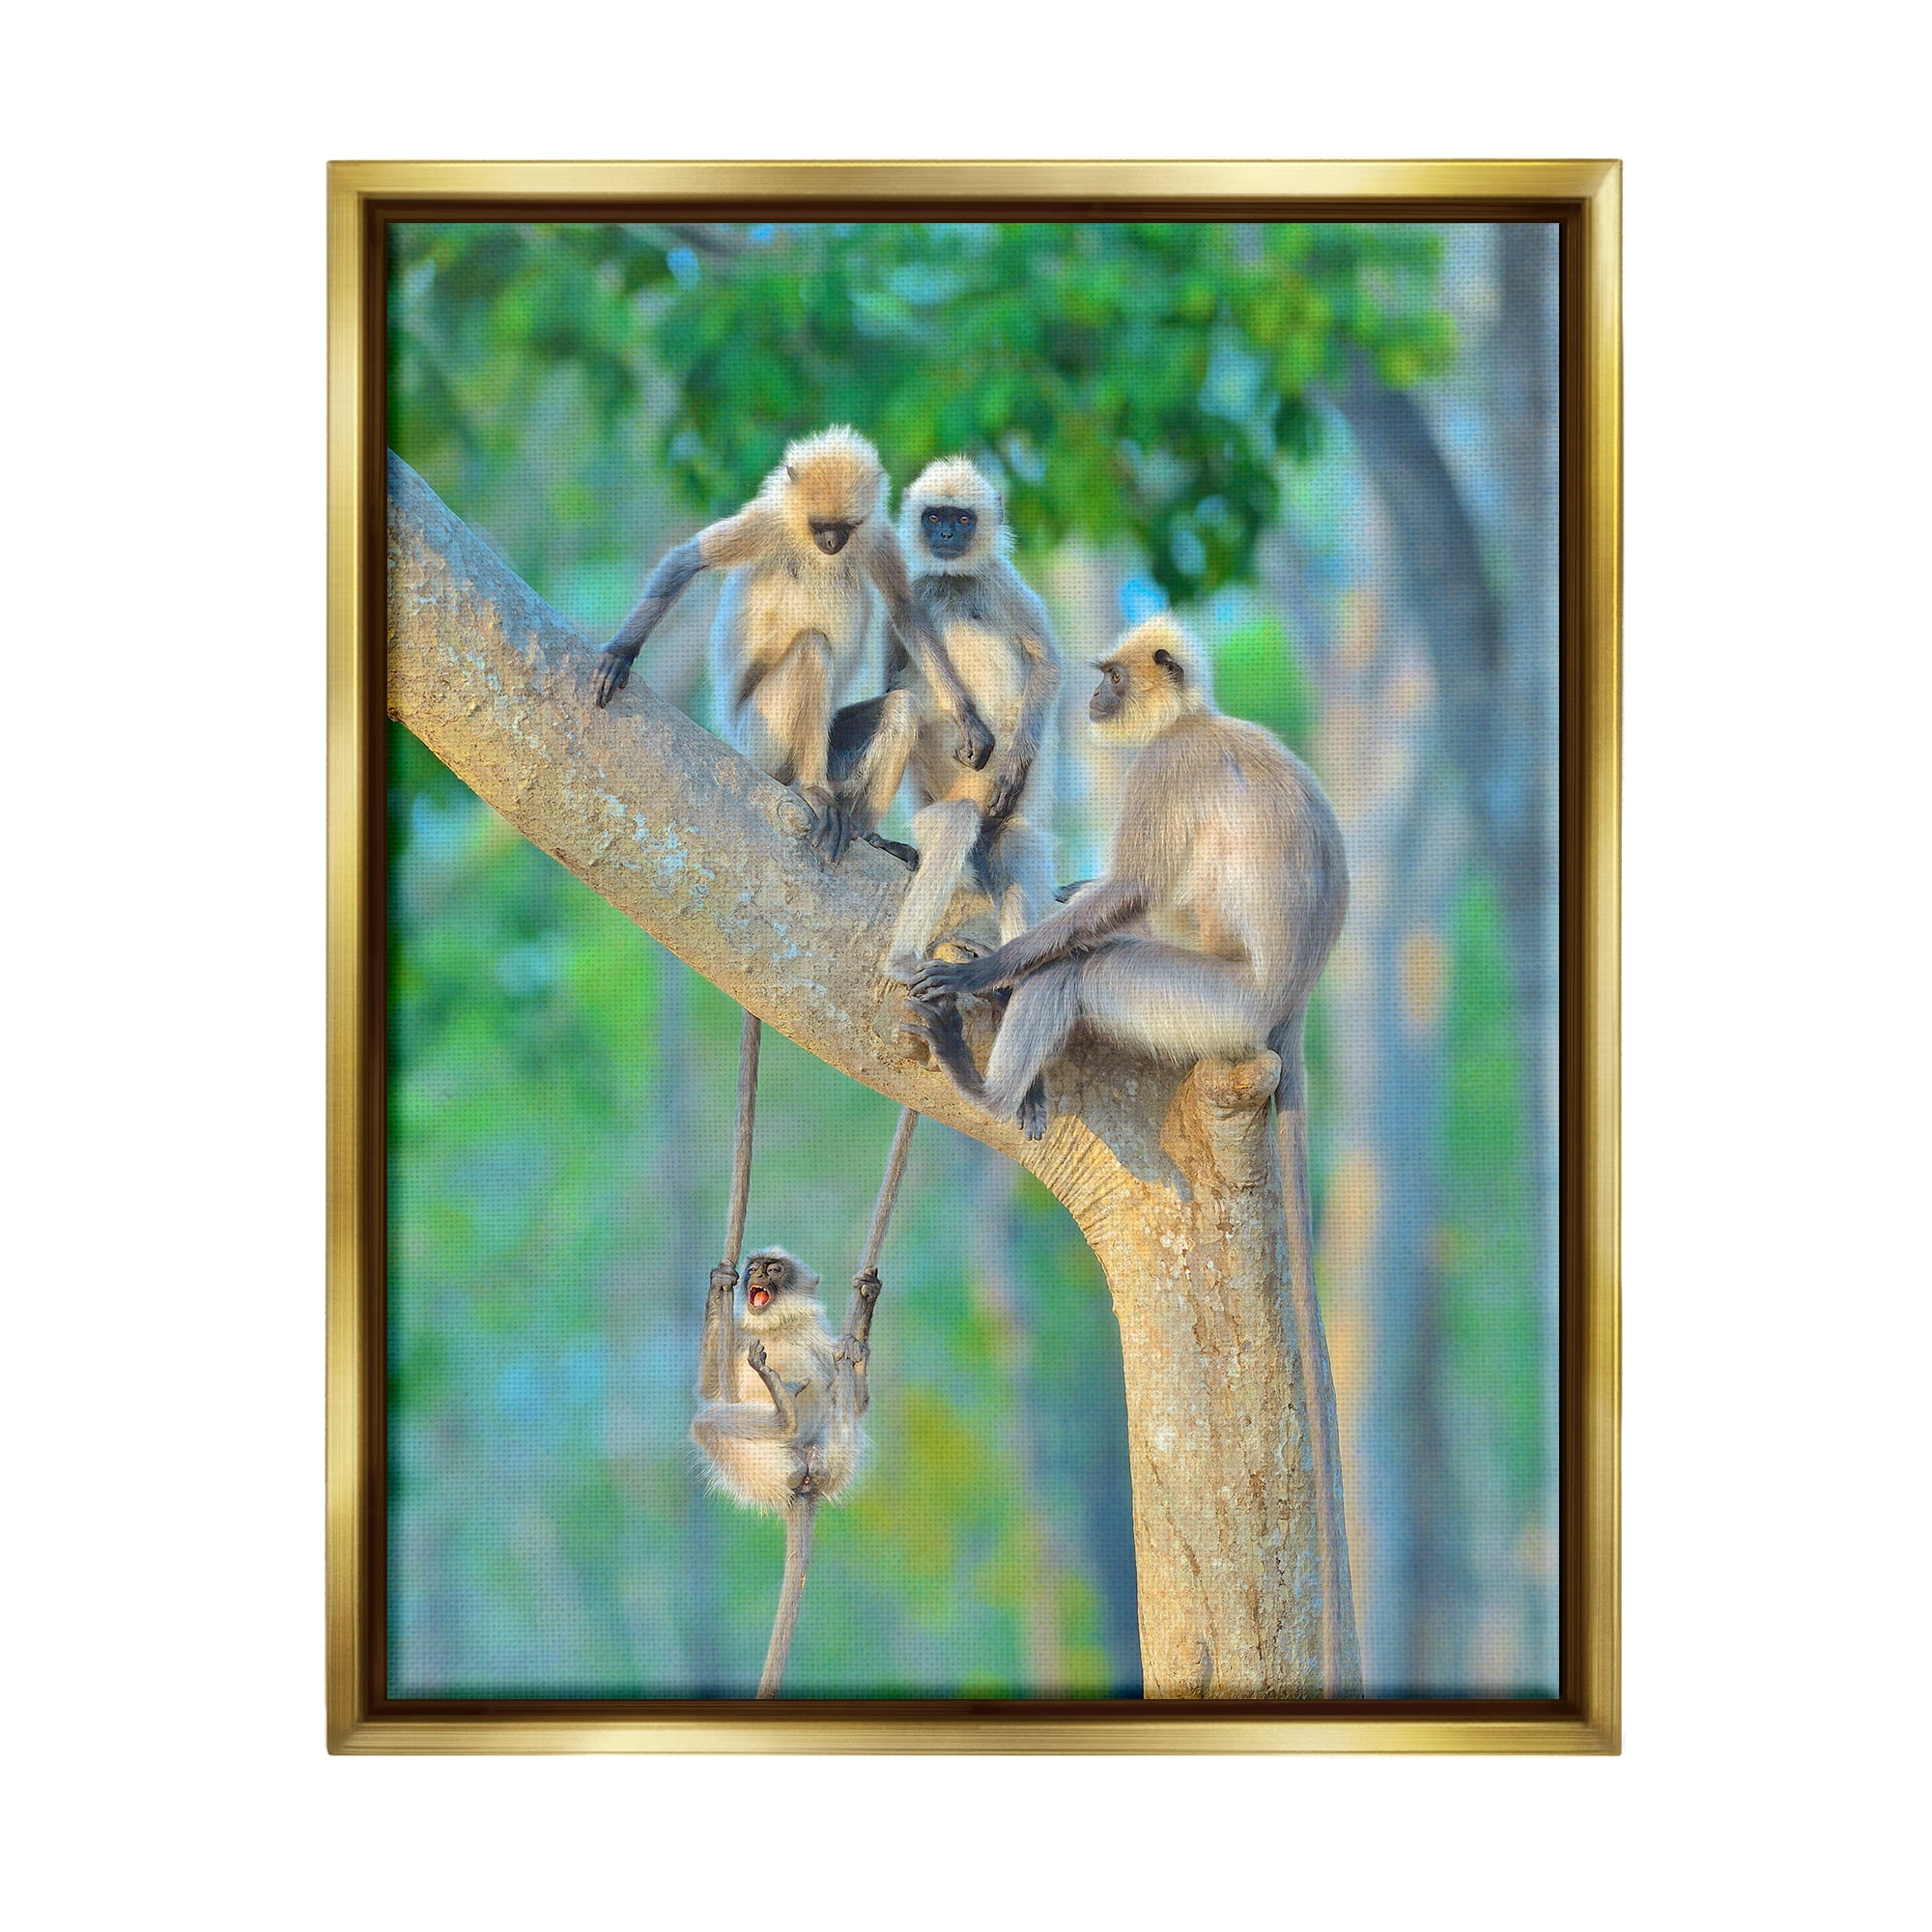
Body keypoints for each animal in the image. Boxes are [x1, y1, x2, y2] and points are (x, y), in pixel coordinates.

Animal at [592, 424, 993, 862]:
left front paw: (968, 719)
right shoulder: (768, 521)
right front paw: (620, 654)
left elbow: (907, 613)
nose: (832, 543)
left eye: (845, 527)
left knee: (903, 707)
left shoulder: (876, 534)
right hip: (759, 737)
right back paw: (812, 789)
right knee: (813, 649)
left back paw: (867, 833)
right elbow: (686, 561)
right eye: (819, 526)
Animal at [693, 1246, 882, 1698]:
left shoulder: (818, 1338)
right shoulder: (741, 1339)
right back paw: (783, 1418)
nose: (756, 1274)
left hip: (833, 1455)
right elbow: (710, 1391)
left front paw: (866, 1302)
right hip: (763, 1467)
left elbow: (859, 1402)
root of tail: (805, 1480)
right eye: (753, 1269)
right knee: (709, 1425)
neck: (776, 1327)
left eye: (775, 1269)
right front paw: (719, 1282)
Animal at [824, 455, 1060, 972]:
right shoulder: (915, 591)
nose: (947, 535)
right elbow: (895, 678)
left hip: (1003, 821)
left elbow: (1047, 665)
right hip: (937, 812)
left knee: (1016, 851)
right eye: (934, 517)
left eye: (962, 519)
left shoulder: (1001, 580)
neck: (955, 581)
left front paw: (1013, 767)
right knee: (953, 824)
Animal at [902, 612, 1357, 1693]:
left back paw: (985, 1077)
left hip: (1207, 1005)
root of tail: (1288, 1004)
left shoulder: (1166, 765)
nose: (1098, 697)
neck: (1195, 718)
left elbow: (1131, 894)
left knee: (1089, 968)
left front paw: (985, 970)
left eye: (1110, 676)